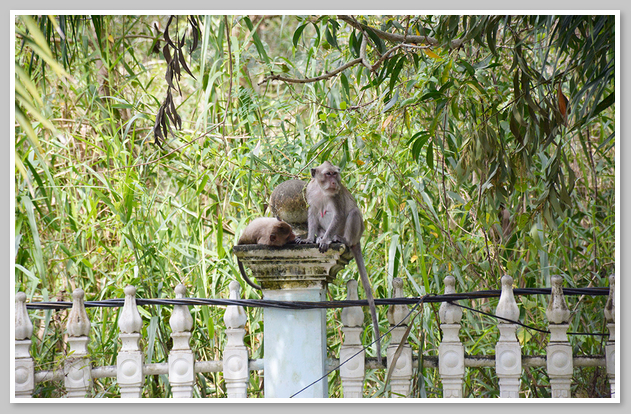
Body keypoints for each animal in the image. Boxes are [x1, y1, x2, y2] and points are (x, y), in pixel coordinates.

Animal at [304, 161, 382, 362]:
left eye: (335, 174)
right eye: (328, 174)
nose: (334, 182)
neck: (322, 190)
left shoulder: (336, 195)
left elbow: (339, 214)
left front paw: (325, 240)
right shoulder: (310, 192)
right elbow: (312, 212)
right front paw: (309, 238)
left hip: (356, 231)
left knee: (352, 212)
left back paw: (338, 239)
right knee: (321, 213)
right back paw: (320, 236)